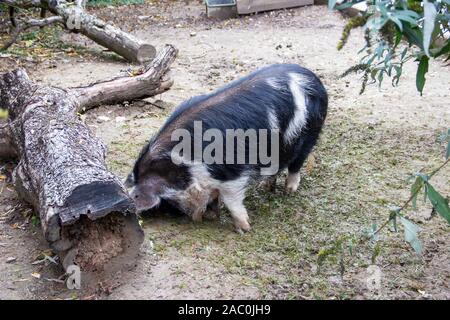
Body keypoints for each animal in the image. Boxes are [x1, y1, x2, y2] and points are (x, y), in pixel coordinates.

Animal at [125, 63, 326, 232]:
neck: (184, 164)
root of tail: (312, 76)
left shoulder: (232, 173)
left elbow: (231, 199)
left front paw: (244, 228)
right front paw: (213, 214)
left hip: (310, 131)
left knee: (297, 163)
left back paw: (289, 190)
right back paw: (265, 186)